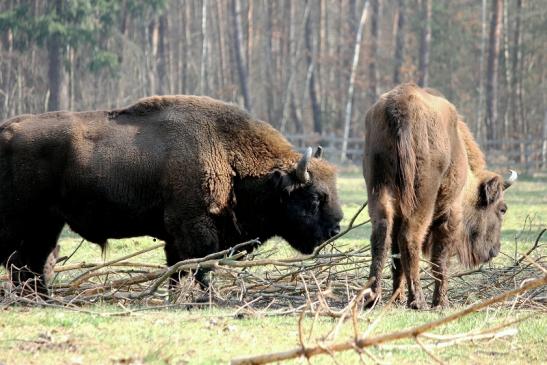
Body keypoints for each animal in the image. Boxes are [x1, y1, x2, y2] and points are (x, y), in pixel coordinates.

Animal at [1, 95, 342, 294]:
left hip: (47, 223)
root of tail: (6, 130)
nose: (335, 228)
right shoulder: (194, 228)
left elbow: (179, 270)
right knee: (20, 261)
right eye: (314, 198)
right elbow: (201, 267)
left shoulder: (174, 239)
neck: (228, 153)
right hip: (22, 220)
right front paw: (203, 299)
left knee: (31, 262)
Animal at [364, 83, 520, 308]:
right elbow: (441, 258)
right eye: (502, 209)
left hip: (379, 190)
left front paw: (396, 298)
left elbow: (396, 257)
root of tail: (400, 108)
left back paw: (372, 298)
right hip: (422, 200)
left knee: (382, 238)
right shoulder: (450, 212)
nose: (494, 250)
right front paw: (441, 302)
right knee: (410, 238)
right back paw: (418, 301)